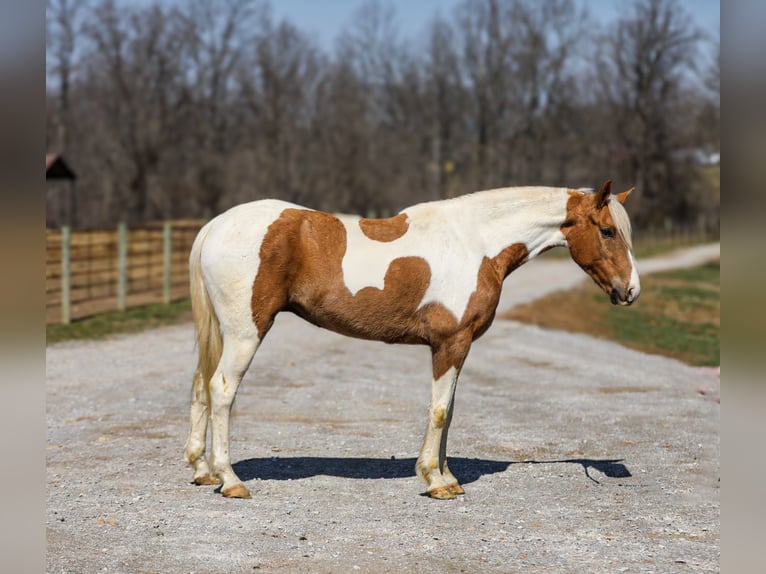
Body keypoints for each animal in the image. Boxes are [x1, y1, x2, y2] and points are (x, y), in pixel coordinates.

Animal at [183, 179, 640, 499]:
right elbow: (438, 411)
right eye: (607, 231)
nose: (630, 291)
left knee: (201, 387)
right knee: (221, 390)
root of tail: (216, 226)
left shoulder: (457, 347)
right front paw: (435, 480)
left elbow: (450, 411)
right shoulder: (451, 343)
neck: (477, 242)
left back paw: (202, 471)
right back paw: (230, 480)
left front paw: (449, 476)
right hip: (245, 333)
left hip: (222, 333)